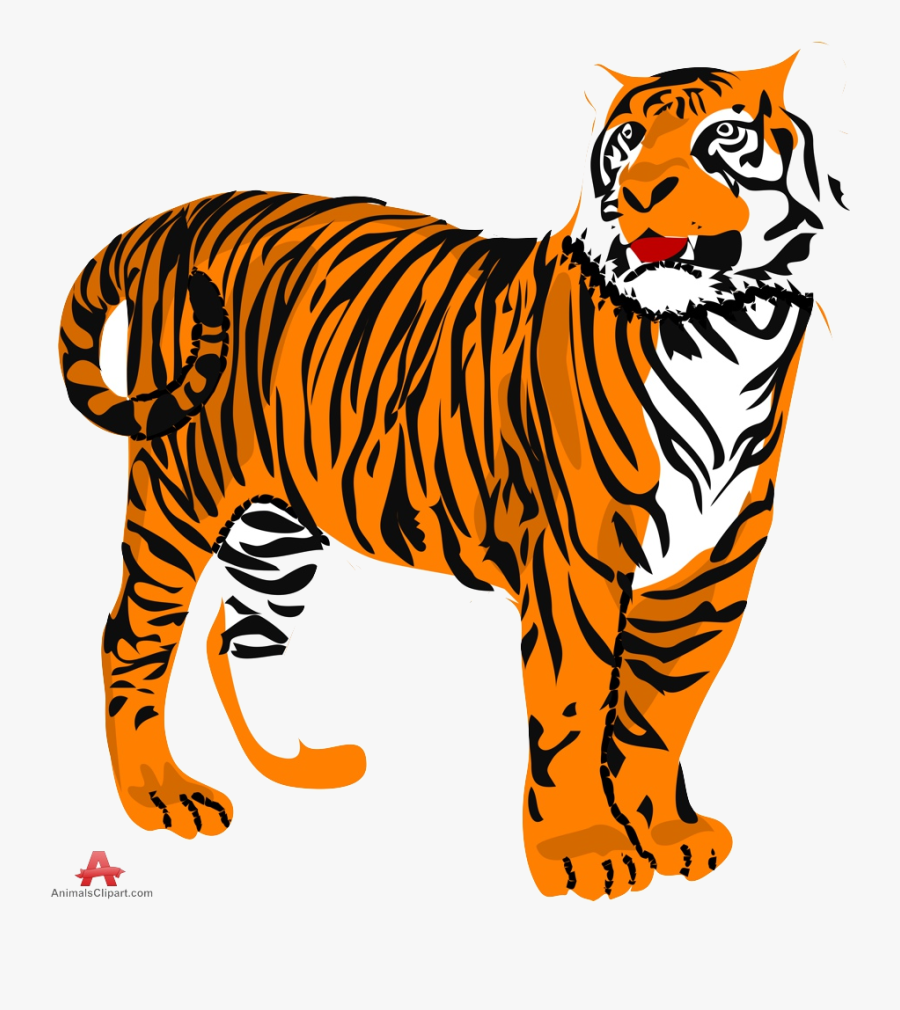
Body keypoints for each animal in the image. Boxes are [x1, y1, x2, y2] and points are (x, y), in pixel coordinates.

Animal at [59, 53, 844, 900]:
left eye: (722, 137)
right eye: (628, 140)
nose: (635, 195)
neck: (725, 332)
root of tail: (172, 216)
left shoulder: (709, 575)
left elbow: (659, 713)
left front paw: (669, 832)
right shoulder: (578, 563)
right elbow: (574, 710)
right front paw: (587, 850)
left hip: (281, 519)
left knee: (247, 632)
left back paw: (299, 766)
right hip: (183, 481)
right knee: (132, 634)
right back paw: (159, 797)